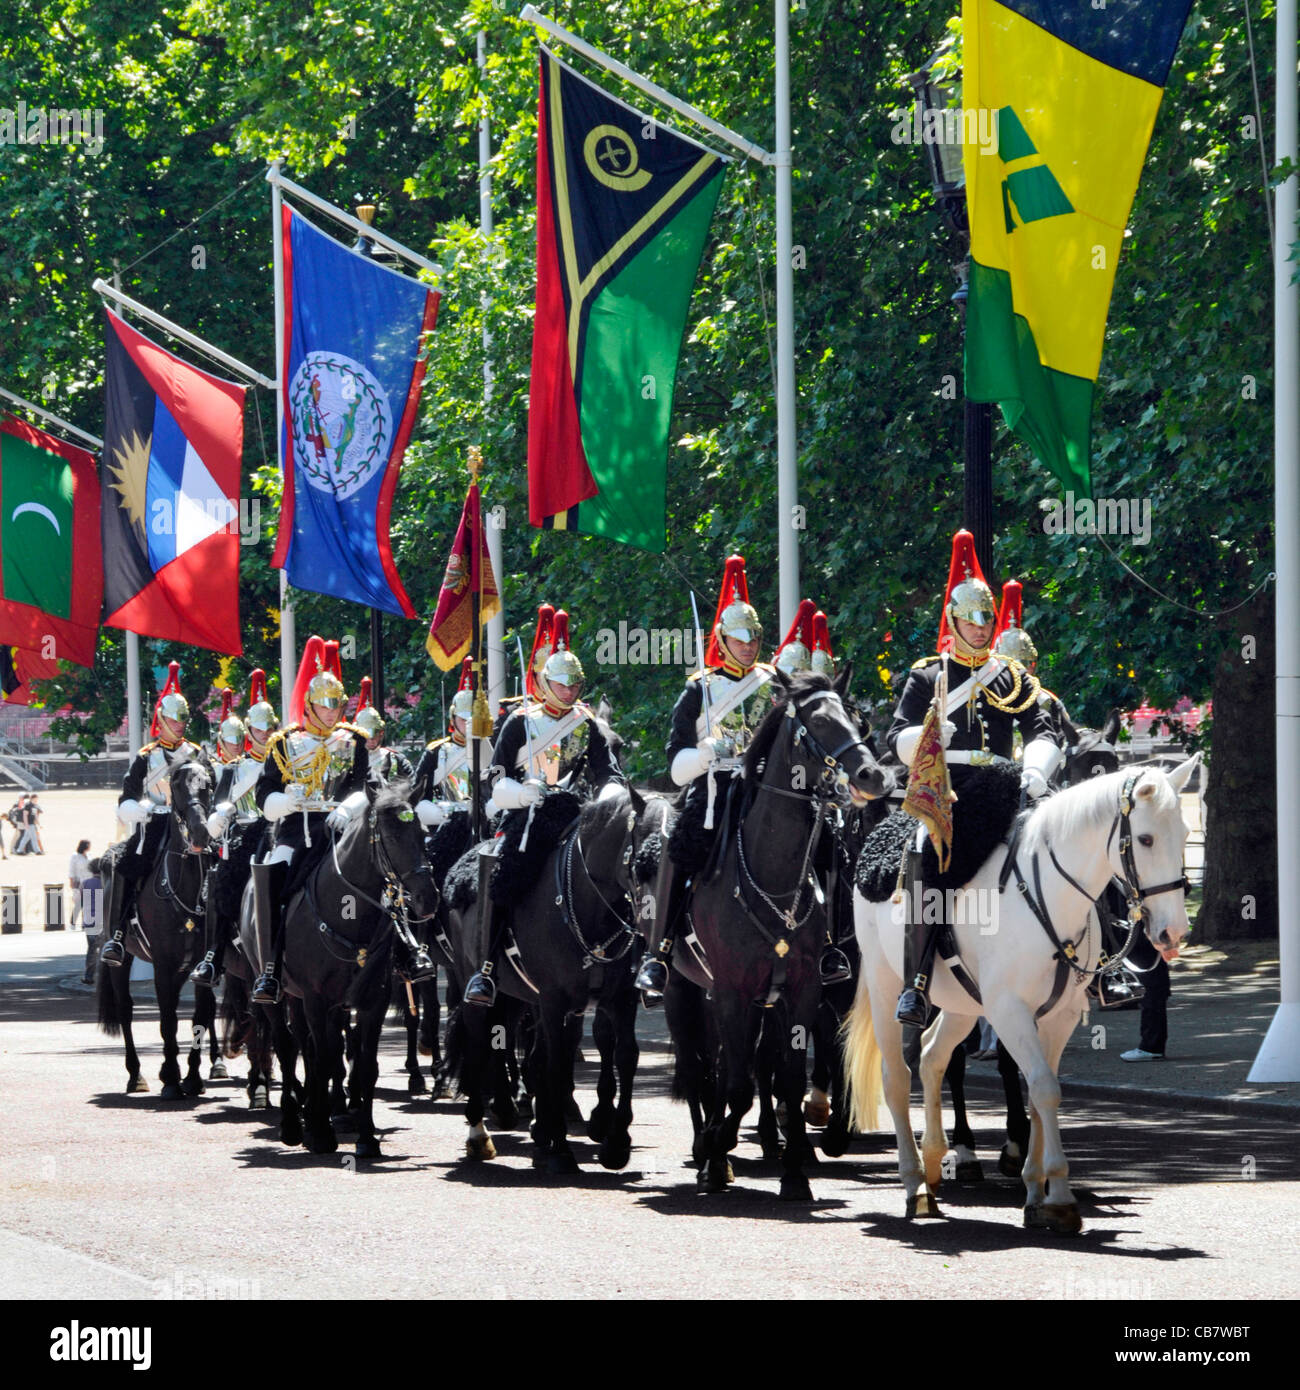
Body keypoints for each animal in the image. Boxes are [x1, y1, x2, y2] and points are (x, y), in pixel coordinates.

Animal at [98, 761, 223, 1095]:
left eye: (207, 784)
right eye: (177, 786)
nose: (200, 832)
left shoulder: (201, 964)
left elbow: (200, 1016)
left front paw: (191, 1077)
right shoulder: (163, 964)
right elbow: (168, 1020)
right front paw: (170, 1077)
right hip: (122, 959)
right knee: (125, 1009)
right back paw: (135, 1075)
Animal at [670, 667, 895, 1200]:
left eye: (855, 717)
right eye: (817, 721)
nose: (872, 777)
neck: (772, 873)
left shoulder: (805, 987)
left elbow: (788, 1075)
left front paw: (795, 1170)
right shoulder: (730, 989)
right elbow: (738, 1082)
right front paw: (718, 1150)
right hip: (684, 989)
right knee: (700, 1065)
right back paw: (705, 1147)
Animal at [845, 756, 1201, 1234]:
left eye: (1184, 833)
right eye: (1145, 838)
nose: (1172, 932)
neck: (1046, 896)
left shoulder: (1058, 1015)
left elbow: (1036, 1091)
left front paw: (1038, 1191)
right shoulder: (1009, 1011)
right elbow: (1045, 1088)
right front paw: (1060, 1196)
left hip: (964, 1003)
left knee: (933, 1056)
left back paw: (938, 1161)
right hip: (887, 987)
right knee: (897, 1077)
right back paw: (915, 1183)